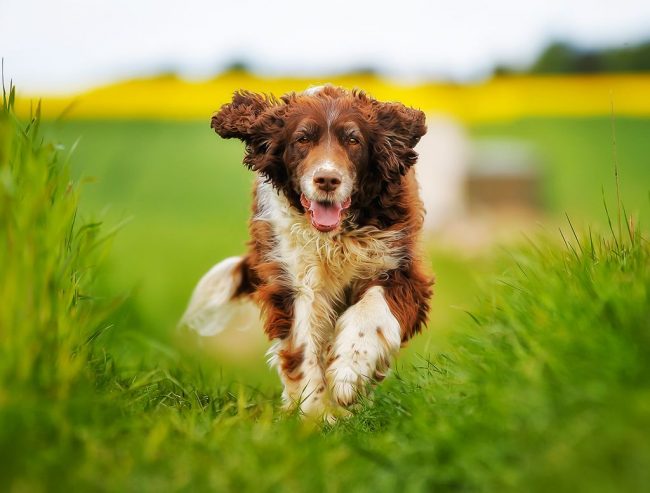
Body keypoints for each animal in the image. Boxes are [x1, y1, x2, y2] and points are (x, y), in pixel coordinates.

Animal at [182, 84, 432, 418]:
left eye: (353, 140)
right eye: (302, 139)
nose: (327, 179)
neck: (337, 236)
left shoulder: (402, 269)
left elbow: (371, 311)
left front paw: (349, 373)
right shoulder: (295, 280)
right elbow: (304, 348)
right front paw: (314, 414)